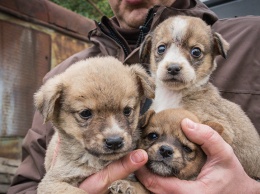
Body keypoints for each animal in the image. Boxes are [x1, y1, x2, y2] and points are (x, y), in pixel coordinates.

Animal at [35, 55, 155, 193]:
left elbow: (139, 187)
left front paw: (125, 185)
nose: (114, 142)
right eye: (85, 113)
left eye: (127, 110)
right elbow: (80, 192)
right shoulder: (53, 181)